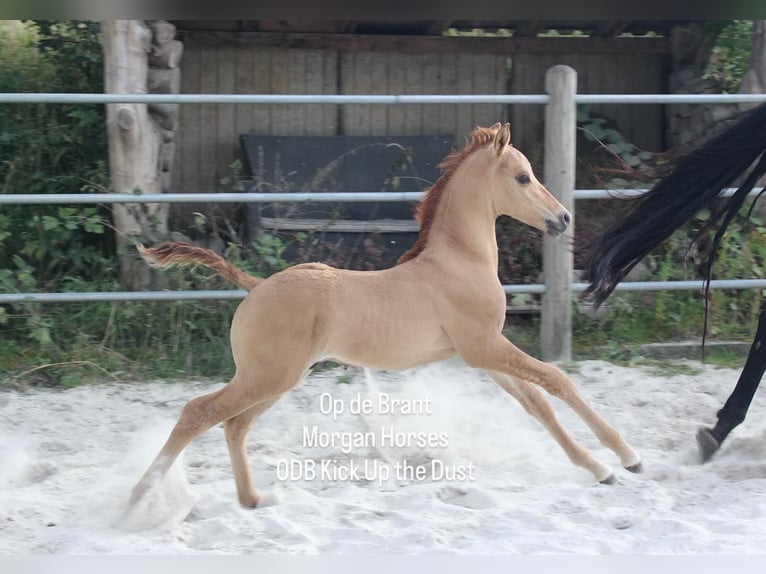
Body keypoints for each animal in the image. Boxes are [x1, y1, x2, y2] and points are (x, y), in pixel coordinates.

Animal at [130, 123, 642, 509]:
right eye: (522, 177)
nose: (563, 219)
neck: (459, 262)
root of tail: (257, 285)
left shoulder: (481, 353)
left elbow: (536, 403)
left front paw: (602, 468)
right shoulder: (485, 346)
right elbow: (558, 381)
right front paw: (626, 456)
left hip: (275, 378)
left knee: (233, 424)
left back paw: (253, 500)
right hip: (266, 376)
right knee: (199, 412)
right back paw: (138, 497)